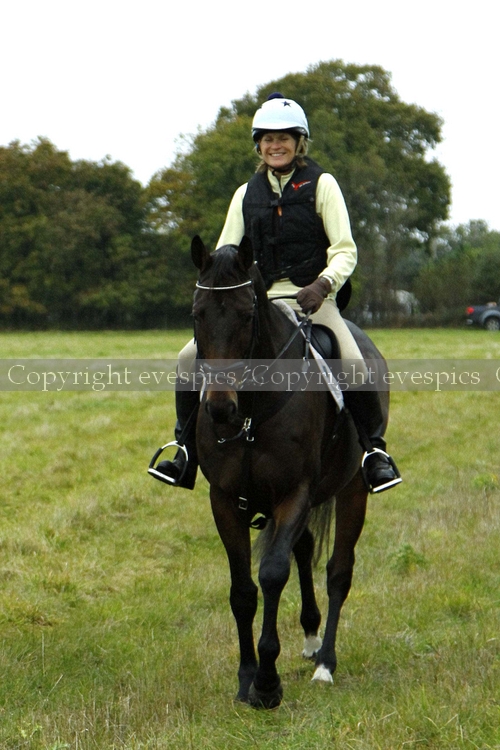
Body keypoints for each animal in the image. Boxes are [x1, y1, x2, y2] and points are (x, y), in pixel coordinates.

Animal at [190, 234, 390, 708]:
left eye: (246, 315)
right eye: (196, 314)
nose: (220, 409)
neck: (251, 411)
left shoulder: (293, 493)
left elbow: (272, 574)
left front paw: (267, 683)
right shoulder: (224, 500)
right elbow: (243, 590)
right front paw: (246, 678)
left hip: (352, 490)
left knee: (338, 571)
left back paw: (325, 663)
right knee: (306, 548)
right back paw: (311, 638)